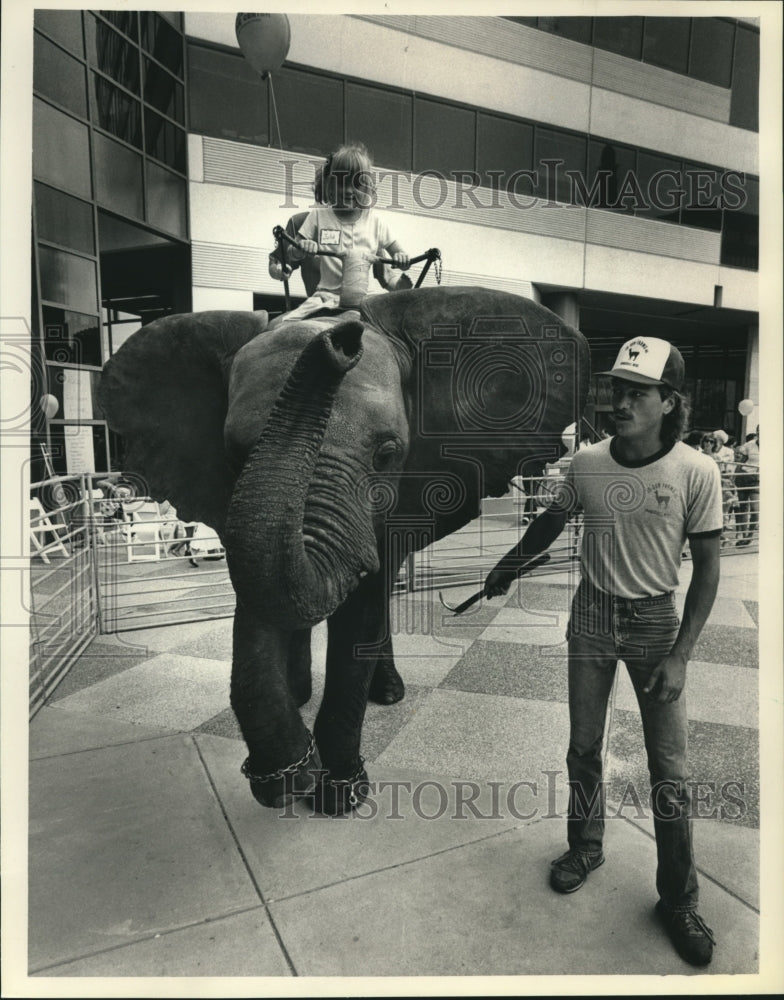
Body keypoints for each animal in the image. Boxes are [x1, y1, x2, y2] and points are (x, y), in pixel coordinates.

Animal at [98, 288, 588, 812]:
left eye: (387, 454)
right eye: (233, 456)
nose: (341, 338)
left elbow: (362, 618)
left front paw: (338, 795)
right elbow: (255, 612)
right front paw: (289, 780)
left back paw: (387, 693)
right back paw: (300, 693)